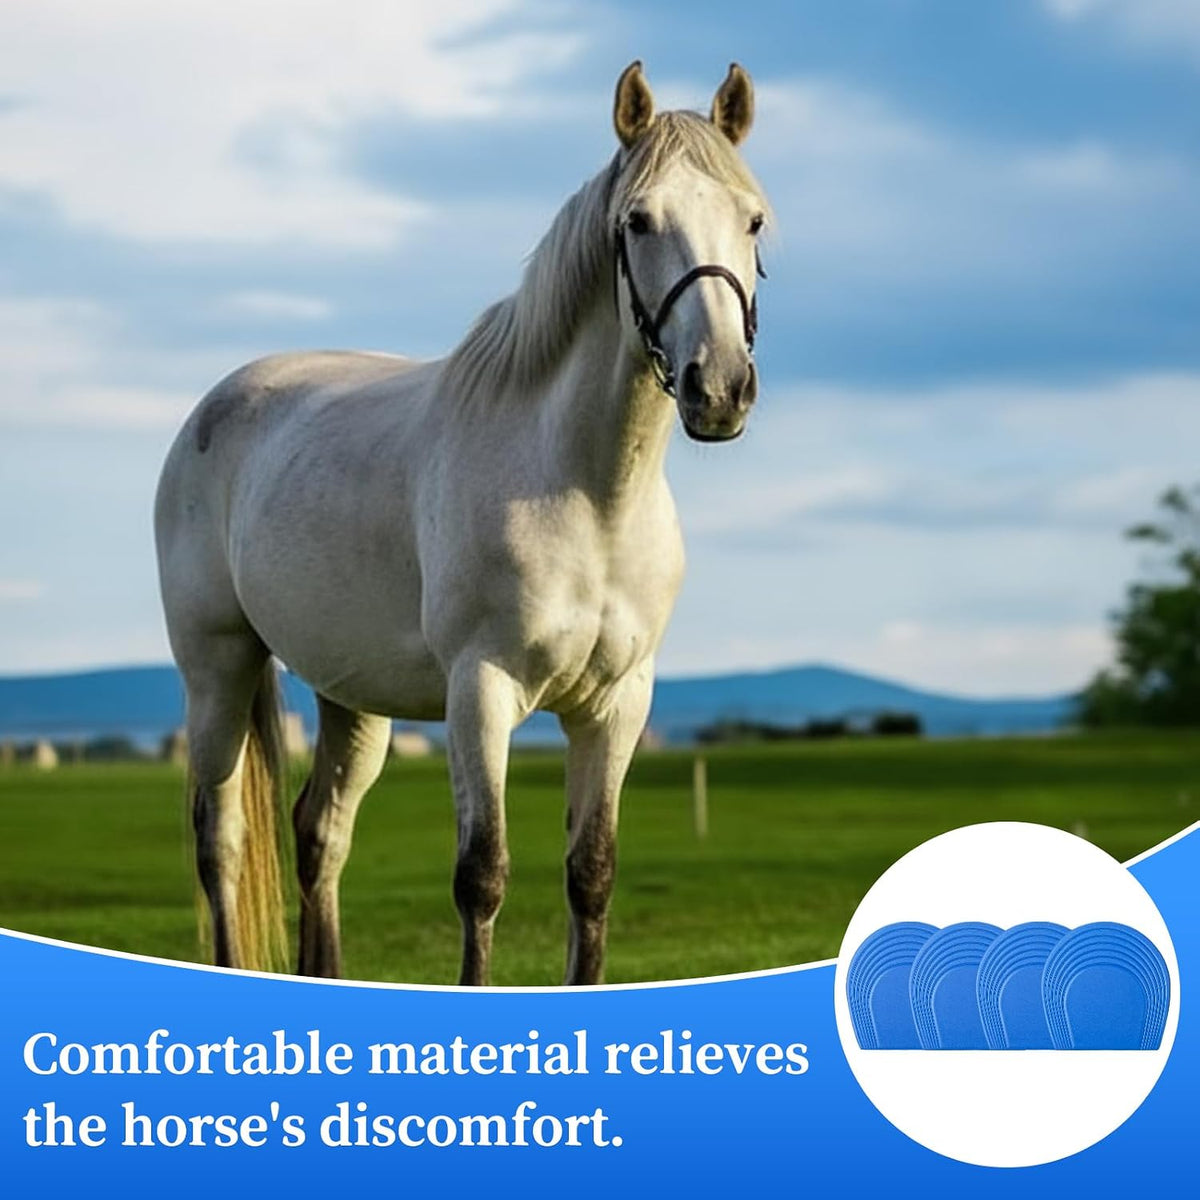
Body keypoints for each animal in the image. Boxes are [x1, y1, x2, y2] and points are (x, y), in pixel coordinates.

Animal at [154, 61, 771, 986]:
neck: (587, 493)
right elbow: (482, 877)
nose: (720, 386)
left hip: (350, 696)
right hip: (217, 667)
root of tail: (215, 405)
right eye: (637, 220)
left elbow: (591, 876)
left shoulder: (617, 705)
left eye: (753, 218)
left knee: (320, 833)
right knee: (219, 839)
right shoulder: (481, 691)